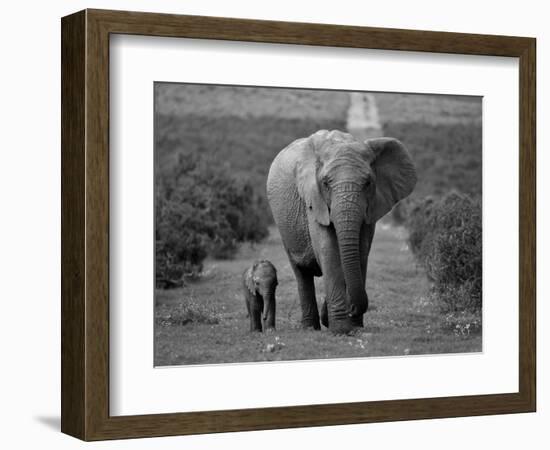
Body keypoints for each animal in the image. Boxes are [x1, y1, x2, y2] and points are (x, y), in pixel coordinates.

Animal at [268, 129, 418, 334]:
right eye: (325, 183)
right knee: (301, 273)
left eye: (368, 183)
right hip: (284, 226)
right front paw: (340, 330)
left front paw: (354, 327)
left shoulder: (371, 207)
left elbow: (361, 252)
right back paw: (310, 328)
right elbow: (329, 250)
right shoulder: (314, 201)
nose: (352, 308)